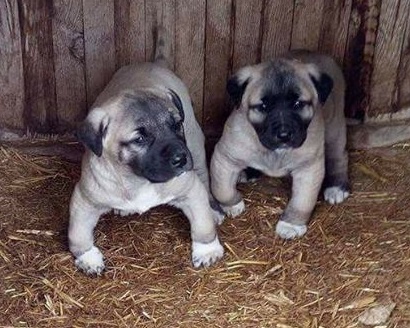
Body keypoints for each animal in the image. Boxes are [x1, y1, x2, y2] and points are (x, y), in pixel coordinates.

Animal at [69, 28, 224, 276]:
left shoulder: (190, 189)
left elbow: (203, 223)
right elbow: (77, 233)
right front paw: (88, 258)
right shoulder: (84, 199)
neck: (138, 180)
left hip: (197, 147)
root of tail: (153, 63)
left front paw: (207, 249)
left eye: (176, 125)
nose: (181, 158)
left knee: (205, 179)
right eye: (139, 139)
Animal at [211, 51, 350, 240]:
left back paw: (336, 187)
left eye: (298, 104)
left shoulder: (309, 168)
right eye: (263, 106)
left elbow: (302, 202)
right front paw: (233, 205)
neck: (275, 153)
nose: (284, 135)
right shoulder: (225, 157)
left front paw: (291, 224)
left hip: (334, 128)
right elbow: (221, 188)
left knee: (339, 156)